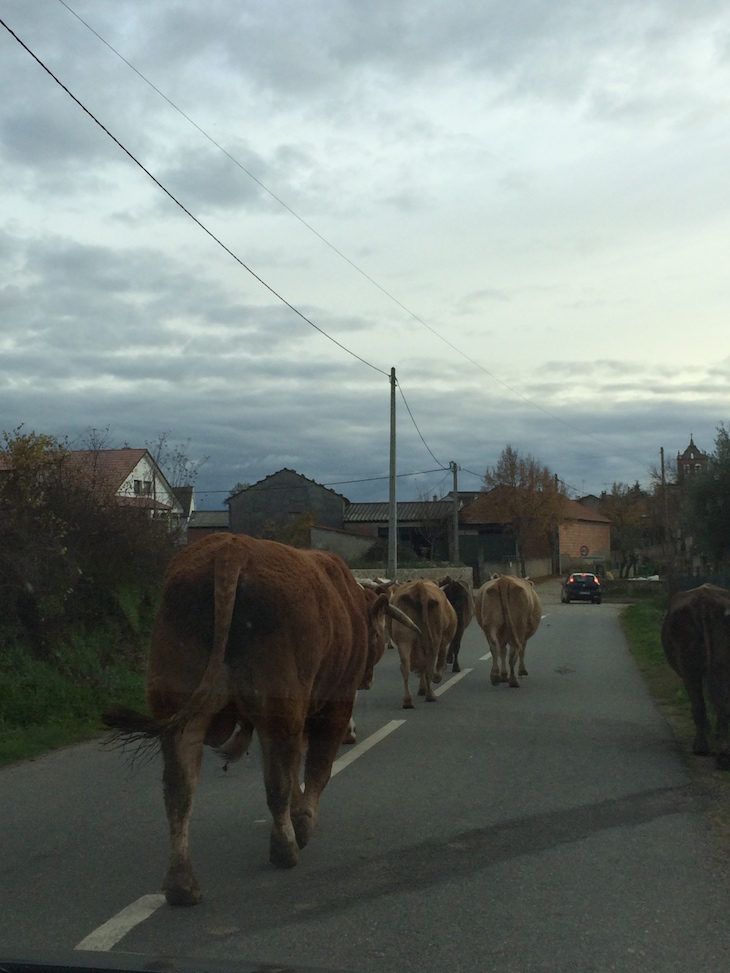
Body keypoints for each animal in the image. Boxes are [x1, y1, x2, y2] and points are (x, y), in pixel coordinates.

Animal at [105, 532, 418, 904]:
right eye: (379, 630)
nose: (368, 678)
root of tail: (231, 547)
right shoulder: (334, 704)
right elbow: (316, 767)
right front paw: (303, 819)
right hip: (279, 705)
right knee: (277, 779)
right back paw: (285, 848)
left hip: (180, 707)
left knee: (179, 787)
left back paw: (181, 884)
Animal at [386, 576, 456, 708]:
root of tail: (419, 587)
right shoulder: (442, 641)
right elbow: (439, 661)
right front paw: (436, 678)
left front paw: (421, 688)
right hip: (434, 639)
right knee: (429, 666)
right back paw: (431, 695)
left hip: (404, 638)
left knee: (405, 666)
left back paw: (408, 700)